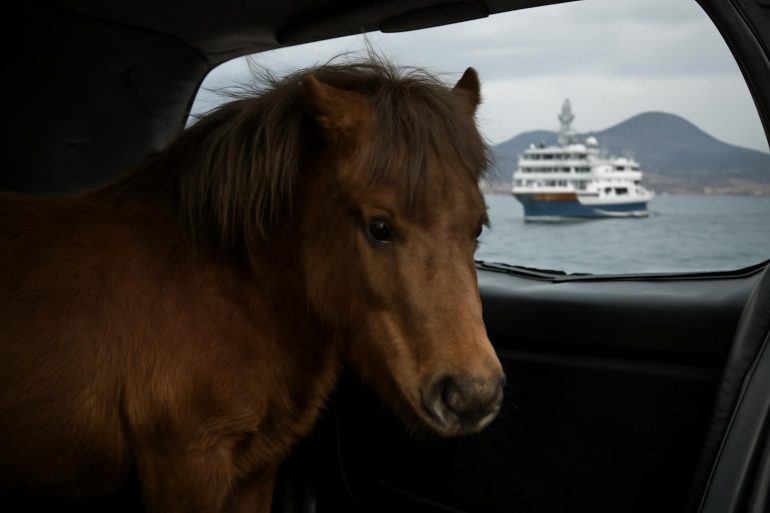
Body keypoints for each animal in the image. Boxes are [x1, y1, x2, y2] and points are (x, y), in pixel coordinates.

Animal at [0, 57, 505, 512]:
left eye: (478, 227)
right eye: (378, 227)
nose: (473, 394)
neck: (224, 295)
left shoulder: (256, 469)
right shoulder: (187, 466)